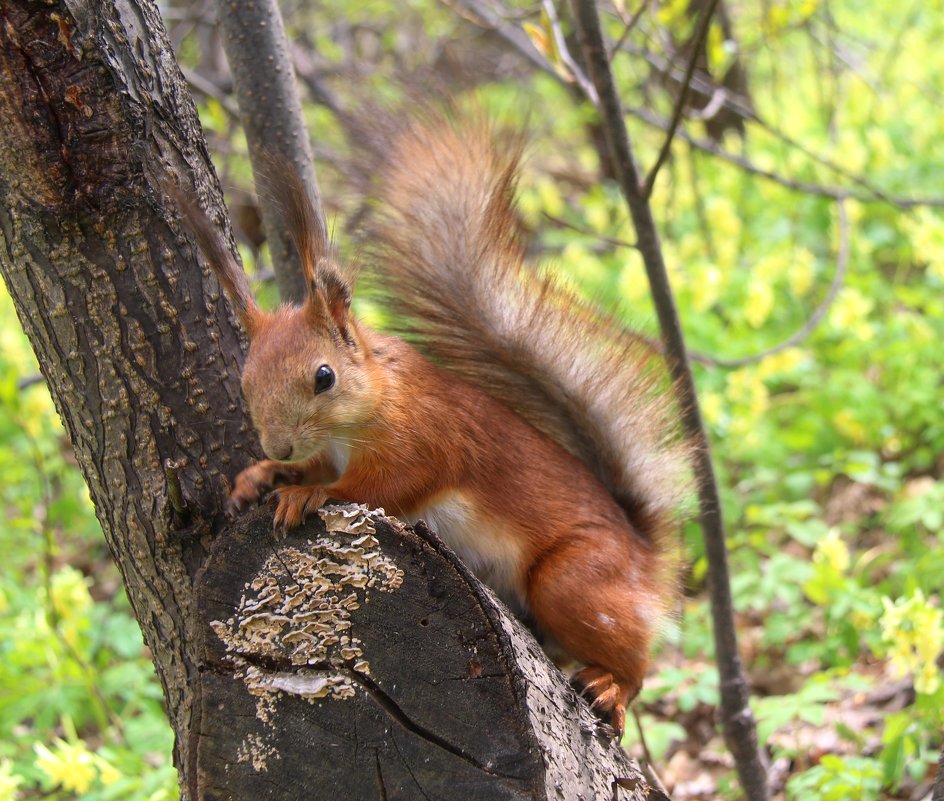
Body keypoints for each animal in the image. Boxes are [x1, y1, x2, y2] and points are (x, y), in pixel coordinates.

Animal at [179, 114, 692, 736]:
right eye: (246, 381)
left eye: (324, 376)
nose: (277, 443)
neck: (366, 411)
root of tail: (643, 554)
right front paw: (261, 476)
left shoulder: (426, 437)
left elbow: (386, 485)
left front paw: (306, 494)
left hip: (576, 581)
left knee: (636, 662)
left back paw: (612, 688)